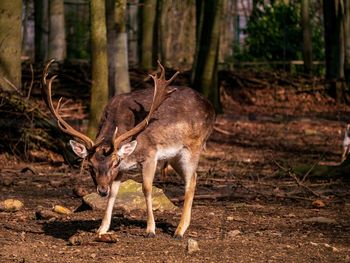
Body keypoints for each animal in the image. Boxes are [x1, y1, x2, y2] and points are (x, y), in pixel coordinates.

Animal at [42, 59, 215, 239]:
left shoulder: (150, 154)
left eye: (114, 163)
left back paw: (179, 230)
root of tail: (211, 107)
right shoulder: (123, 169)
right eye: (89, 166)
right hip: (175, 156)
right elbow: (113, 193)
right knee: (194, 177)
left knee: (190, 181)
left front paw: (150, 229)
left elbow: (146, 188)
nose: (101, 190)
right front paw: (102, 229)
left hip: (194, 146)